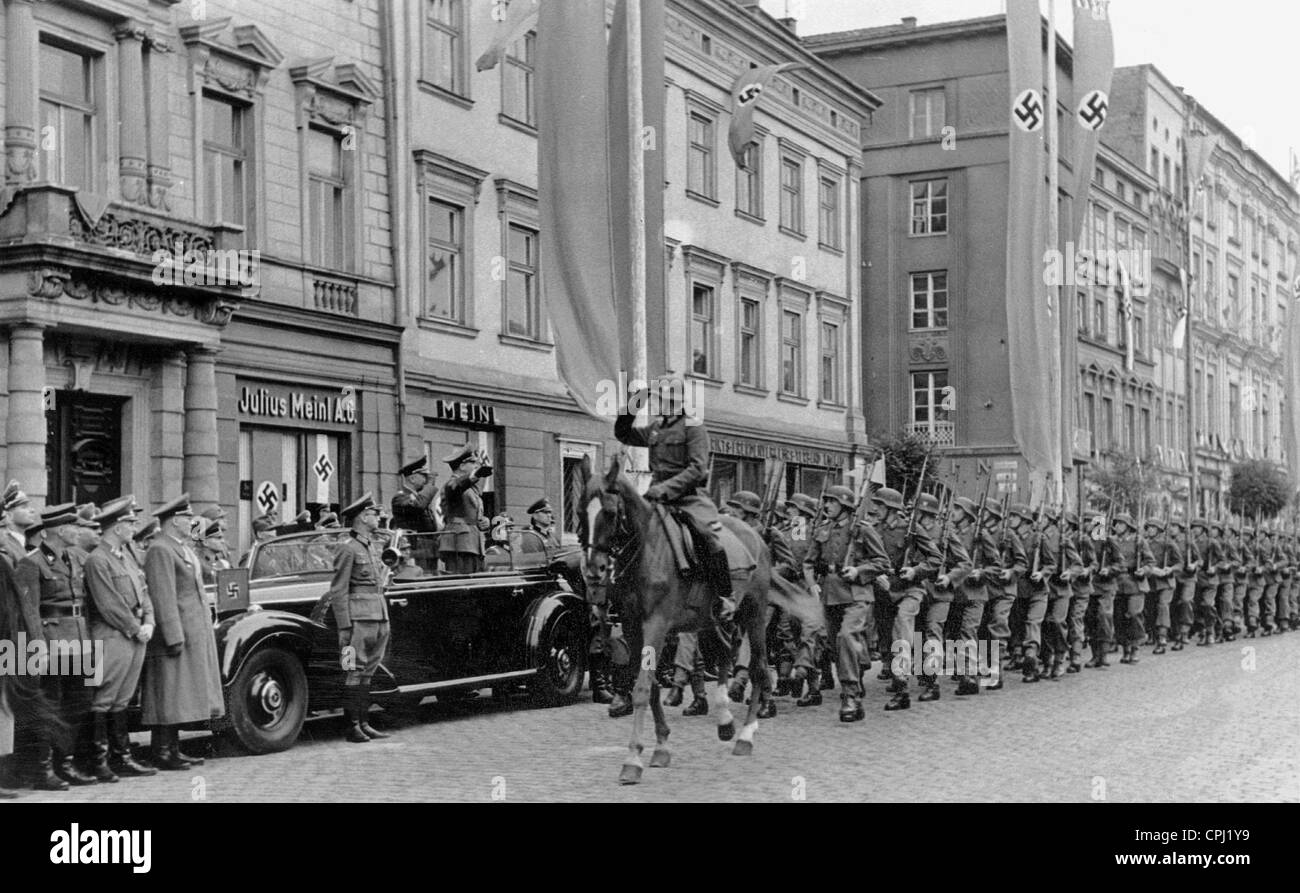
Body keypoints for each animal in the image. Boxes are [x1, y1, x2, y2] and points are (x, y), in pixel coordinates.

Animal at [587, 457, 769, 785]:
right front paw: (661, 747)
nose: (594, 573)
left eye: (609, 511)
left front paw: (633, 759)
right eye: (580, 509)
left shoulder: (656, 626)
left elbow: (643, 687)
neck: (647, 550)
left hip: (755, 613)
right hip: (716, 620)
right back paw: (725, 720)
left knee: (759, 667)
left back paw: (746, 735)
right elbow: (650, 686)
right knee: (724, 655)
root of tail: (756, 536)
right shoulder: (633, 629)